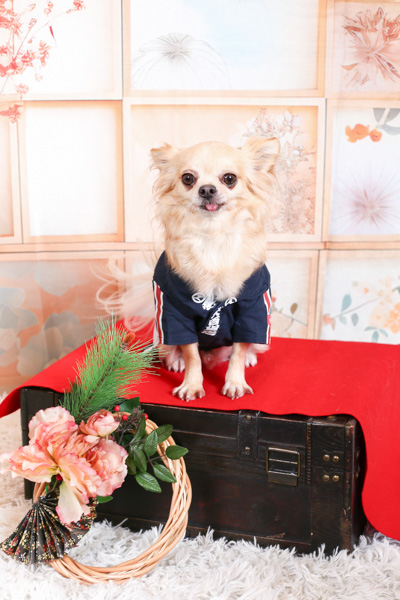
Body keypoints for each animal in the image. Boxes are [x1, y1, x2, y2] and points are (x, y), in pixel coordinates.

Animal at [150, 136, 280, 401]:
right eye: (188, 178)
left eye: (229, 178)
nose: (207, 189)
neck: (212, 234)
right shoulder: (174, 309)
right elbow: (191, 353)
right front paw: (191, 384)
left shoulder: (253, 307)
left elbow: (239, 349)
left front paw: (235, 382)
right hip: (161, 337)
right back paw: (175, 360)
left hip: (263, 336)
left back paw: (250, 357)